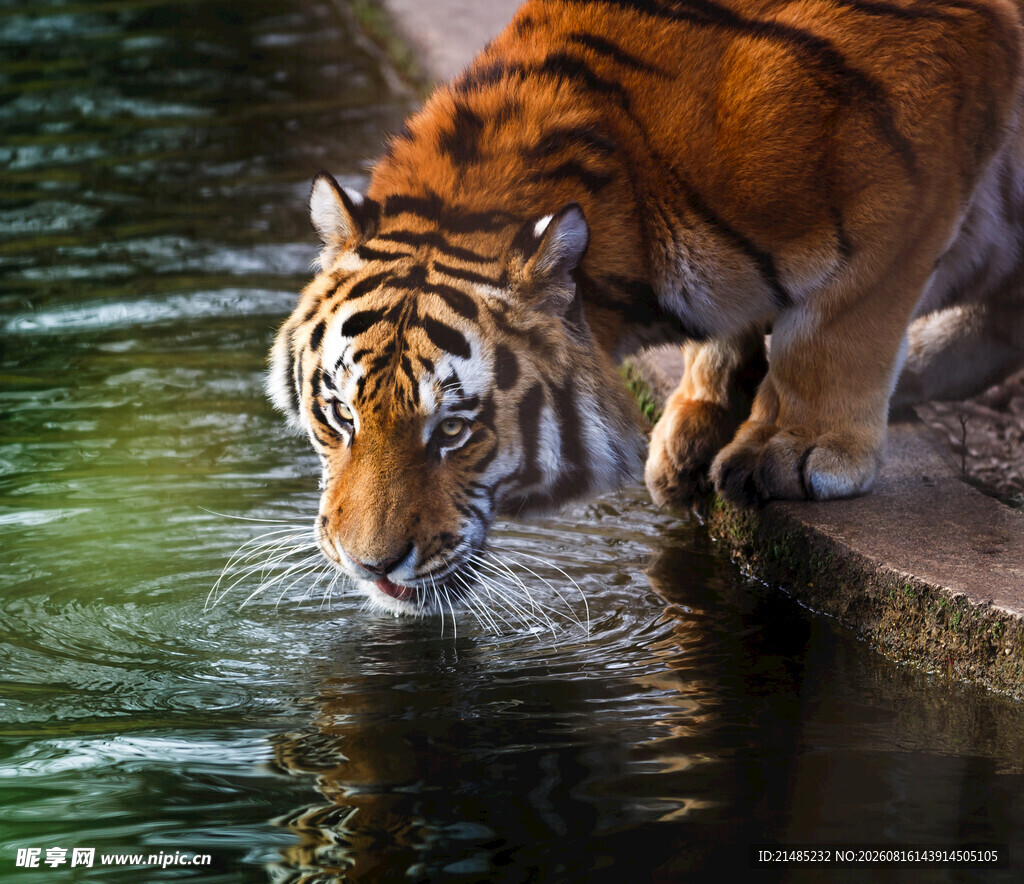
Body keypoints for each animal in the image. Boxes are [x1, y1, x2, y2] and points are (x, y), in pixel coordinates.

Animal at [268, 0, 1024, 615]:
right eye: (339, 416)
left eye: (454, 430)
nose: (370, 566)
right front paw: (696, 424)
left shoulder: (916, 158)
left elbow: (837, 325)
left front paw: (794, 445)